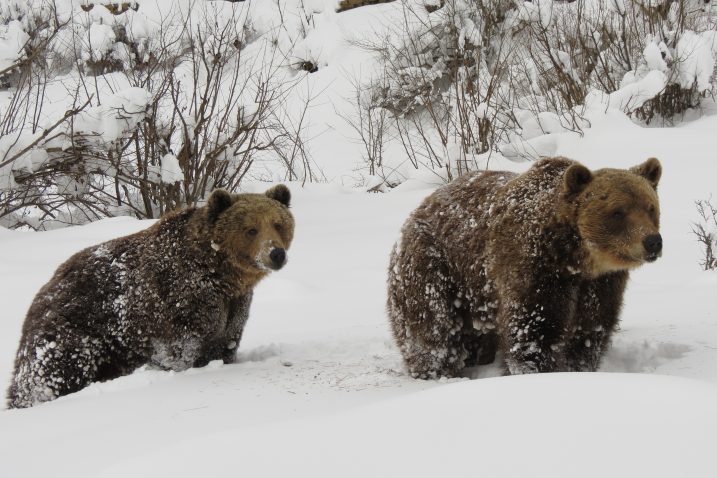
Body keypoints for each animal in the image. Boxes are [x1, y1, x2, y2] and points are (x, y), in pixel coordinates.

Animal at [7, 185, 292, 408]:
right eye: (251, 229)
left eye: (278, 224)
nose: (276, 254)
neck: (220, 275)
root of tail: (46, 286)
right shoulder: (180, 300)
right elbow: (180, 351)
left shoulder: (233, 306)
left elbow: (225, 343)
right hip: (76, 328)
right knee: (51, 371)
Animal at [388, 159, 664, 380]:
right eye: (618, 212)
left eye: (650, 208)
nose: (653, 241)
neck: (577, 259)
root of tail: (421, 206)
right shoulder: (534, 268)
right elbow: (534, 332)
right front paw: (537, 372)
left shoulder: (600, 284)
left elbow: (588, 330)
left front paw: (577, 368)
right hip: (435, 262)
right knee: (432, 321)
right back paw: (436, 369)